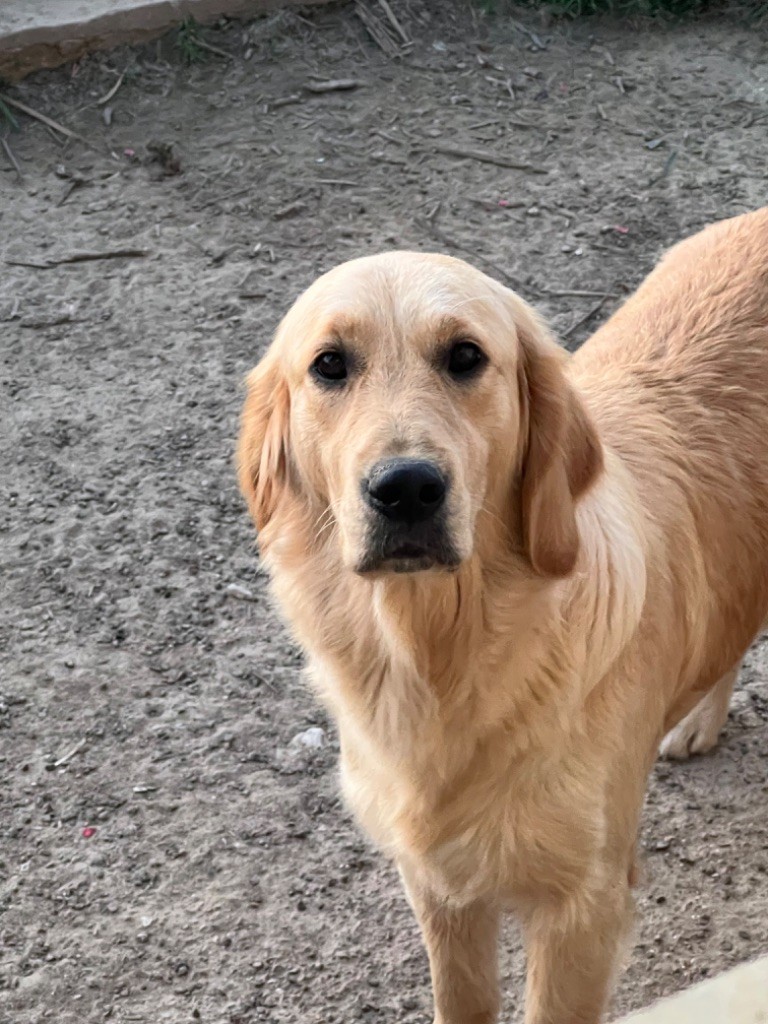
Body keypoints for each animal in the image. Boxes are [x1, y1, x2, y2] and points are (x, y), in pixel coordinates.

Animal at [237, 209, 768, 1024]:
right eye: (329, 365)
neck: (443, 655)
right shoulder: (440, 888)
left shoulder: (583, 909)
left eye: (465, 356)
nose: (407, 489)